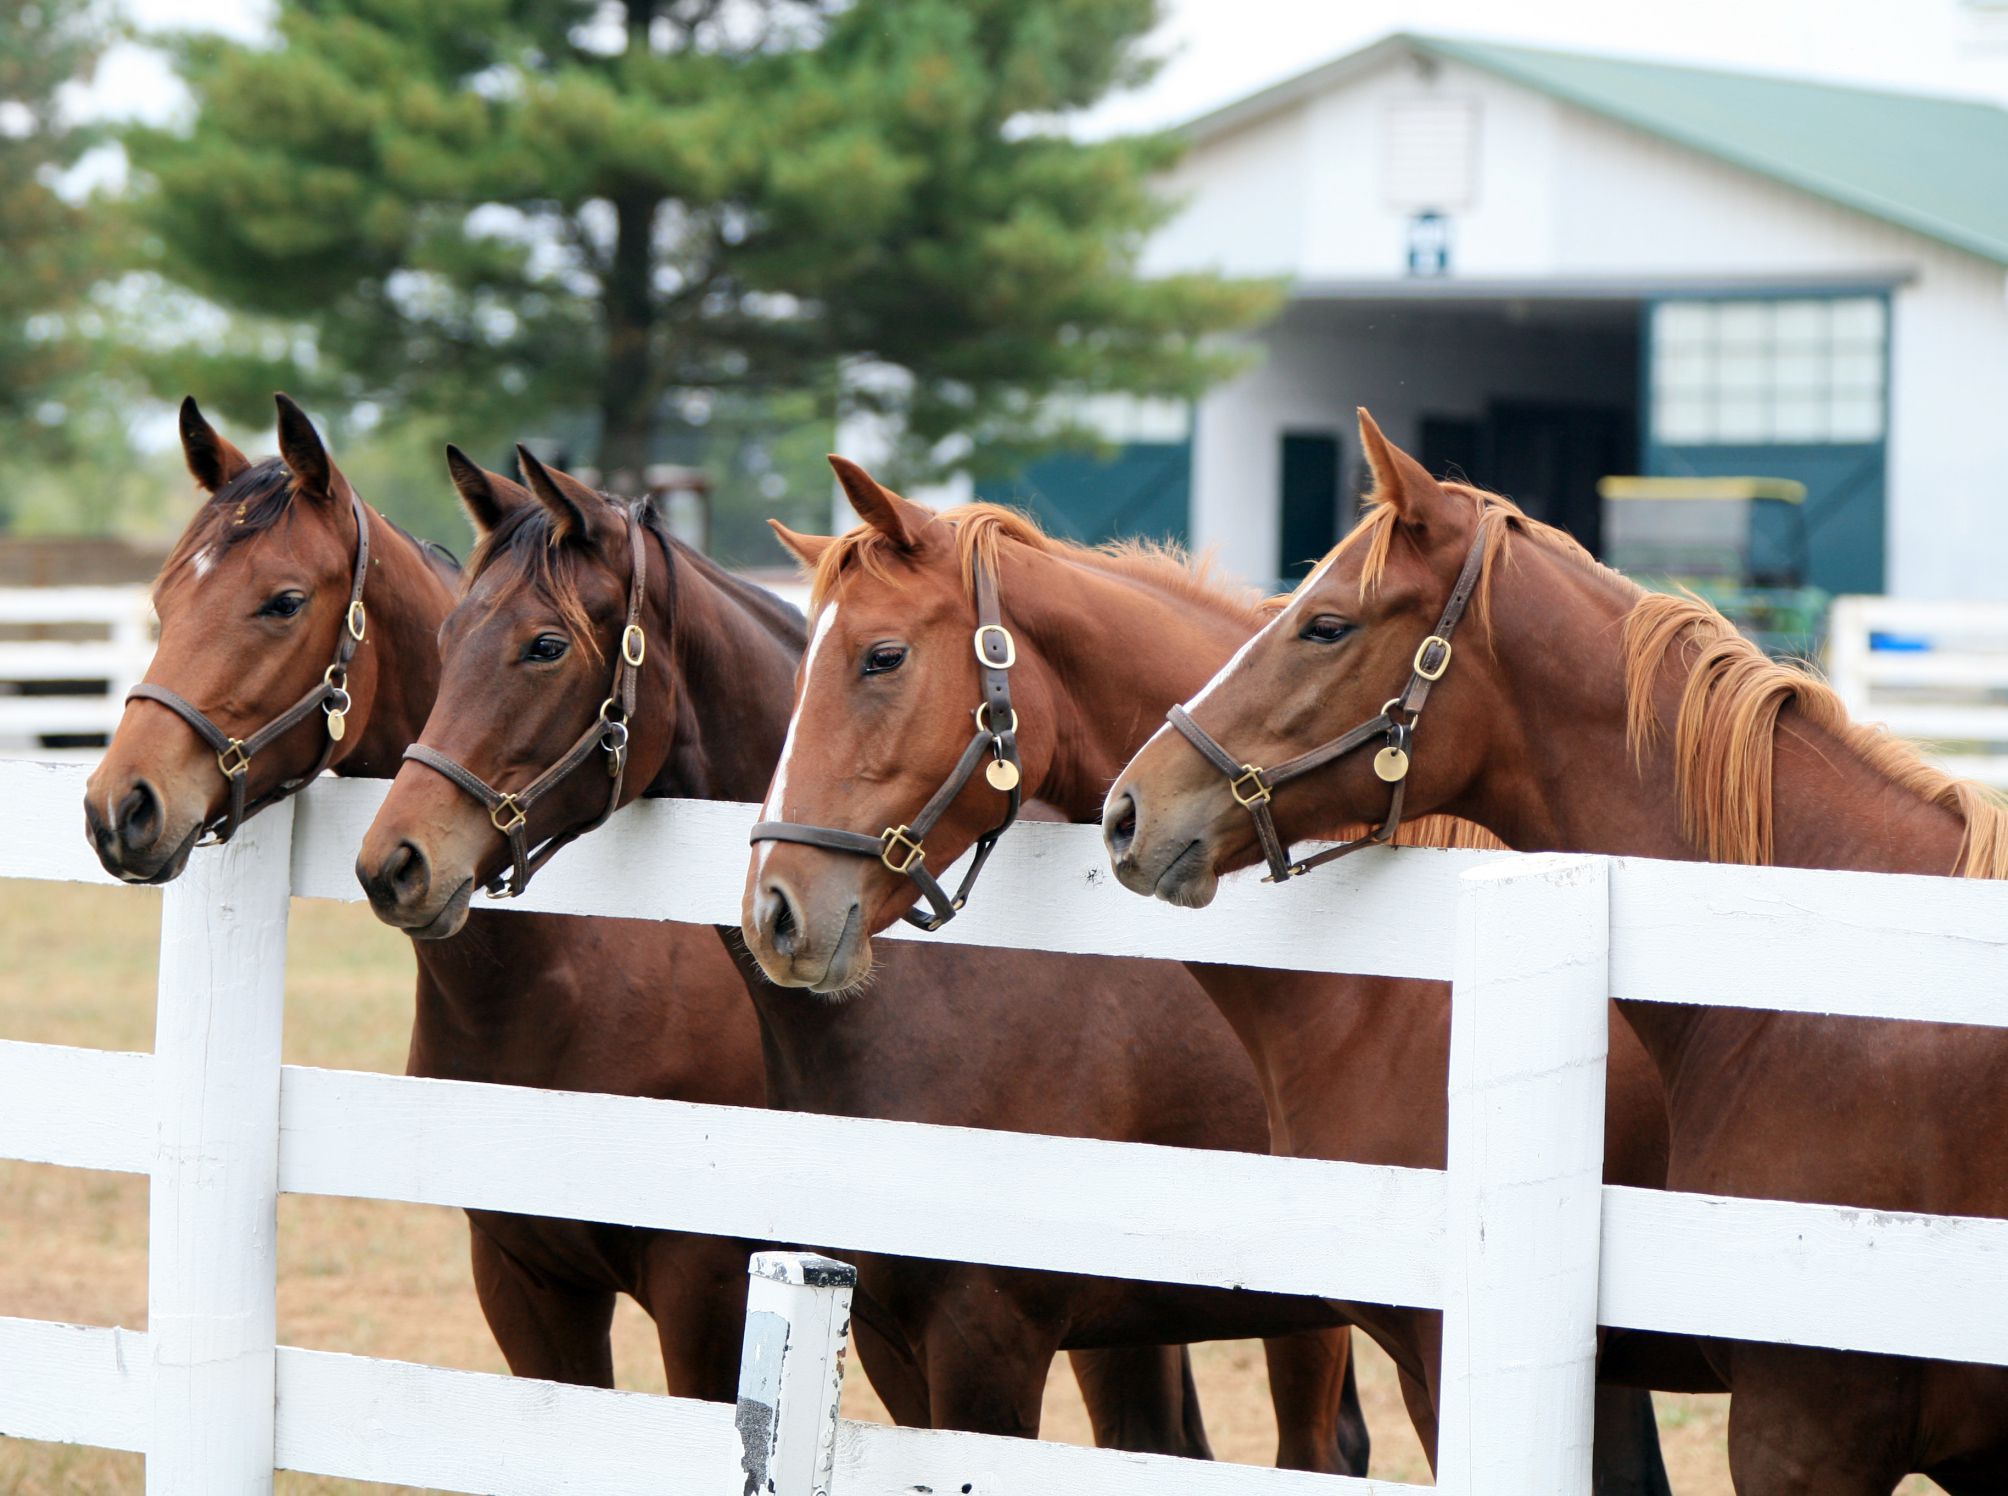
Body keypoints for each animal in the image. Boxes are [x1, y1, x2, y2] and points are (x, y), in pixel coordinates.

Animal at [84, 393, 767, 1389]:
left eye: (283, 602)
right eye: (165, 601)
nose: (118, 807)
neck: (590, 963)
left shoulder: (707, 1290)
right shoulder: (523, 1279)